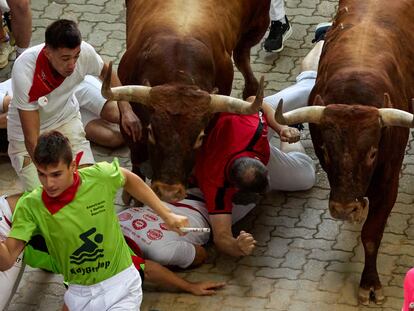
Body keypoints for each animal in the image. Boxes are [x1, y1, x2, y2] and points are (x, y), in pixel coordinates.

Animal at [102, 0, 270, 202]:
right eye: (151, 132)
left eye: (199, 137)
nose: (169, 192)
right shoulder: (128, 115)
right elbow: (136, 150)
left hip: (259, 24)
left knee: (242, 53)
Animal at [274, 0, 414, 308]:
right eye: (325, 151)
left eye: (373, 152)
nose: (344, 209)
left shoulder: (389, 182)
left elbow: (371, 234)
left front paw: (370, 284)